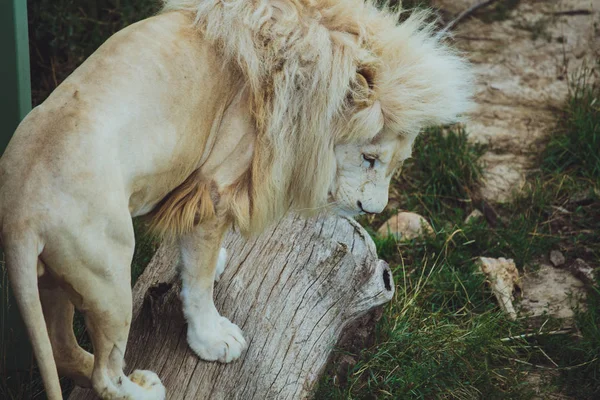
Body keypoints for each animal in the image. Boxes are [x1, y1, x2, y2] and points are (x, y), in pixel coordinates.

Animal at [0, 0, 472, 398]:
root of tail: (19, 215)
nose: (372, 212)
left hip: (55, 278)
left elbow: (198, 263)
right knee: (105, 375)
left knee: (63, 351)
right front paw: (213, 339)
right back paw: (146, 389)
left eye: (398, 165)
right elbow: (199, 282)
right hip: (108, 275)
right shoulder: (213, 191)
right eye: (370, 158)